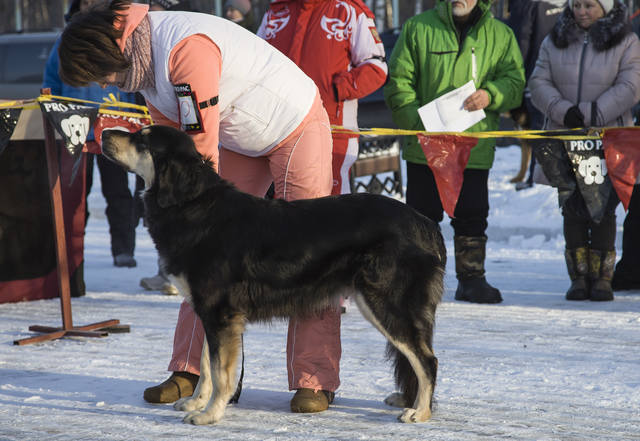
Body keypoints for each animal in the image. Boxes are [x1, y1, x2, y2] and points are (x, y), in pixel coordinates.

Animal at [102, 124, 448, 422]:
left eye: (143, 139)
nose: (103, 133)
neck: (194, 205)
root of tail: (426, 225)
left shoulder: (220, 314)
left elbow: (220, 373)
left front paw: (210, 415)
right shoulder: (211, 313)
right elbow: (206, 366)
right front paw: (197, 403)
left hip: (387, 304)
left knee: (427, 360)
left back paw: (420, 412)